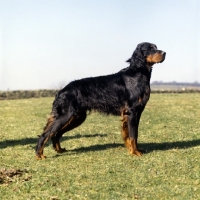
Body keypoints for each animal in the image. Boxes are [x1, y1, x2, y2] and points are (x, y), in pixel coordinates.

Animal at [35, 42, 166, 159]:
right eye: (150, 48)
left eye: (156, 47)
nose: (164, 53)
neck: (138, 73)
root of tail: (61, 91)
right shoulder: (132, 112)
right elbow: (133, 135)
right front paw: (135, 152)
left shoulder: (133, 113)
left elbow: (130, 134)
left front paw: (133, 150)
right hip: (66, 115)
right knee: (45, 134)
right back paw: (39, 155)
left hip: (77, 117)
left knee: (56, 133)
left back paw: (59, 150)